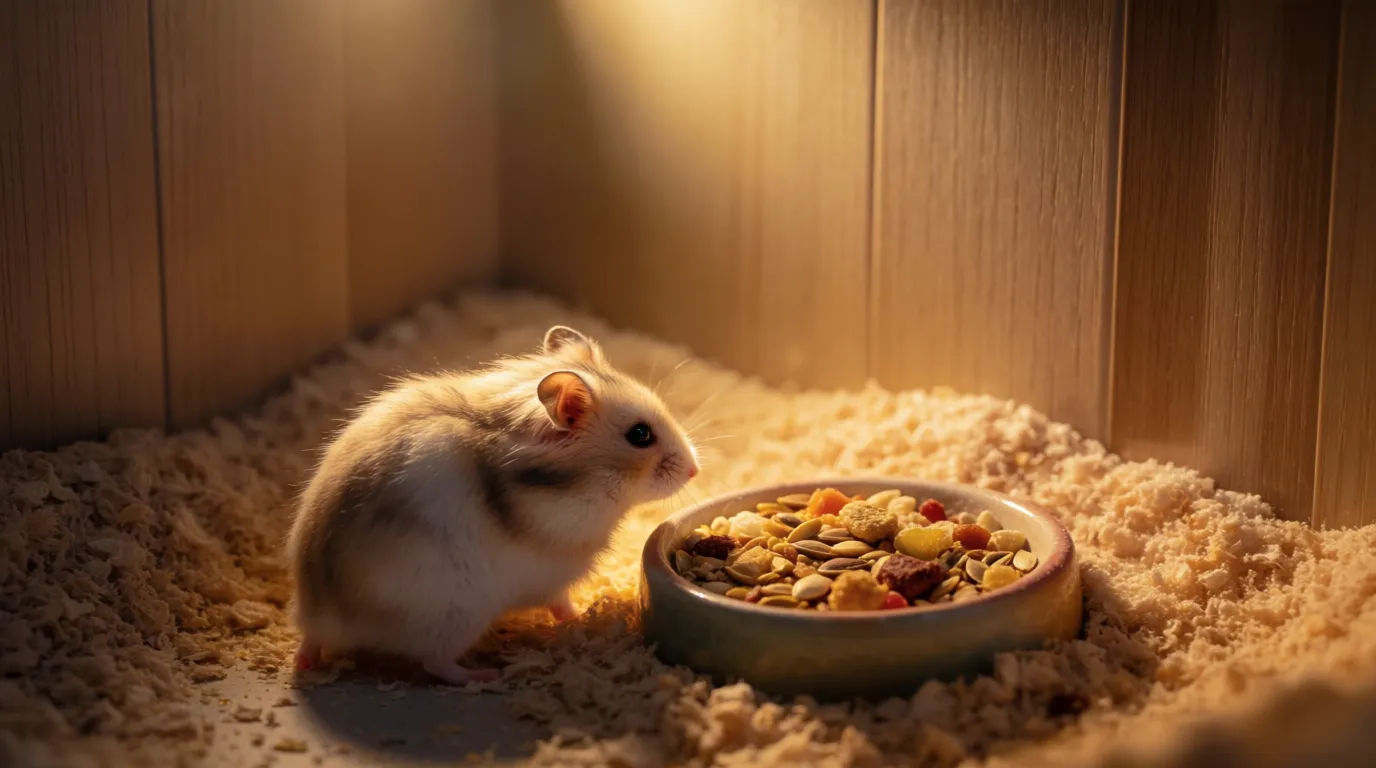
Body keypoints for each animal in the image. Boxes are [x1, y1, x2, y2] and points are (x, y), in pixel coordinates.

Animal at [286, 325, 699, 684]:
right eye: (640, 435)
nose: (696, 470)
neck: (580, 481)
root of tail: (324, 614)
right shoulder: (554, 569)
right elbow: (560, 603)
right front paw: (583, 614)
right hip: (454, 614)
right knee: (436, 663)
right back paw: (486, 675)